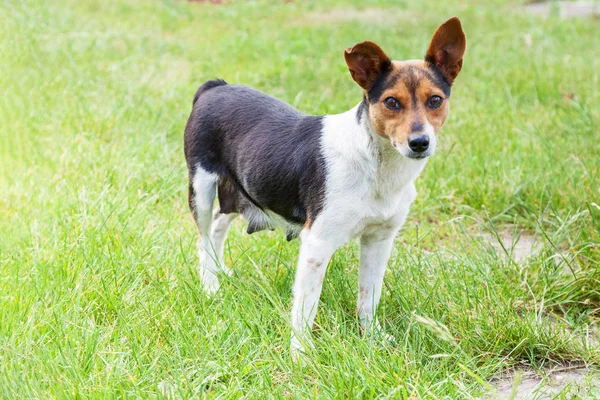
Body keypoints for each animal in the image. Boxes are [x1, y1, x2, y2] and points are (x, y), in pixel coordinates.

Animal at [185, 17, 466, 354]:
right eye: (391, 102)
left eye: (435, 100)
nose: (420, 142)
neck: (377, 164)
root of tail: (216, 86)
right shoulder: (317, 244)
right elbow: (305, 310)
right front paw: (301, 356)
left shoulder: (379, 240)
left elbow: (369, 297)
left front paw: (371, 338)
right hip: (201, 187)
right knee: (203, 237)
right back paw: (210, 286)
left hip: (240, 193)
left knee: (217, 225)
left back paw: (219, 272)